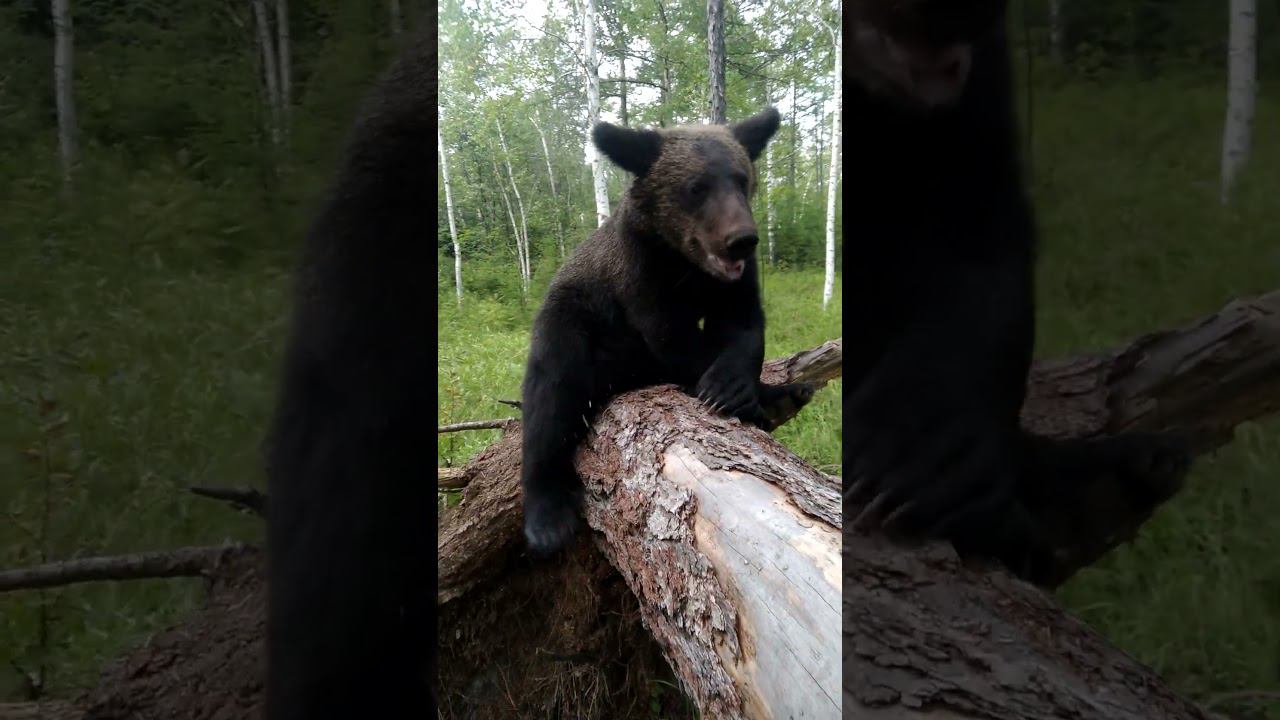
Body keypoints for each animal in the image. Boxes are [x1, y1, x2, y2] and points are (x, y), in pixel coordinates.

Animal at [520, 107, 816, 556]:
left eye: (742, 179)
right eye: (696, 187)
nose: (741, 240)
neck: (686, 266)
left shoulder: (732, 284)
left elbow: (743, 326)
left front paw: (739, 388)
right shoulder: (640, 272)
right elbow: (671, 336)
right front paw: (736, 395)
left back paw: (790, 393)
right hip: (571, 323)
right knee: (550, 395)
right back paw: (546, 520)